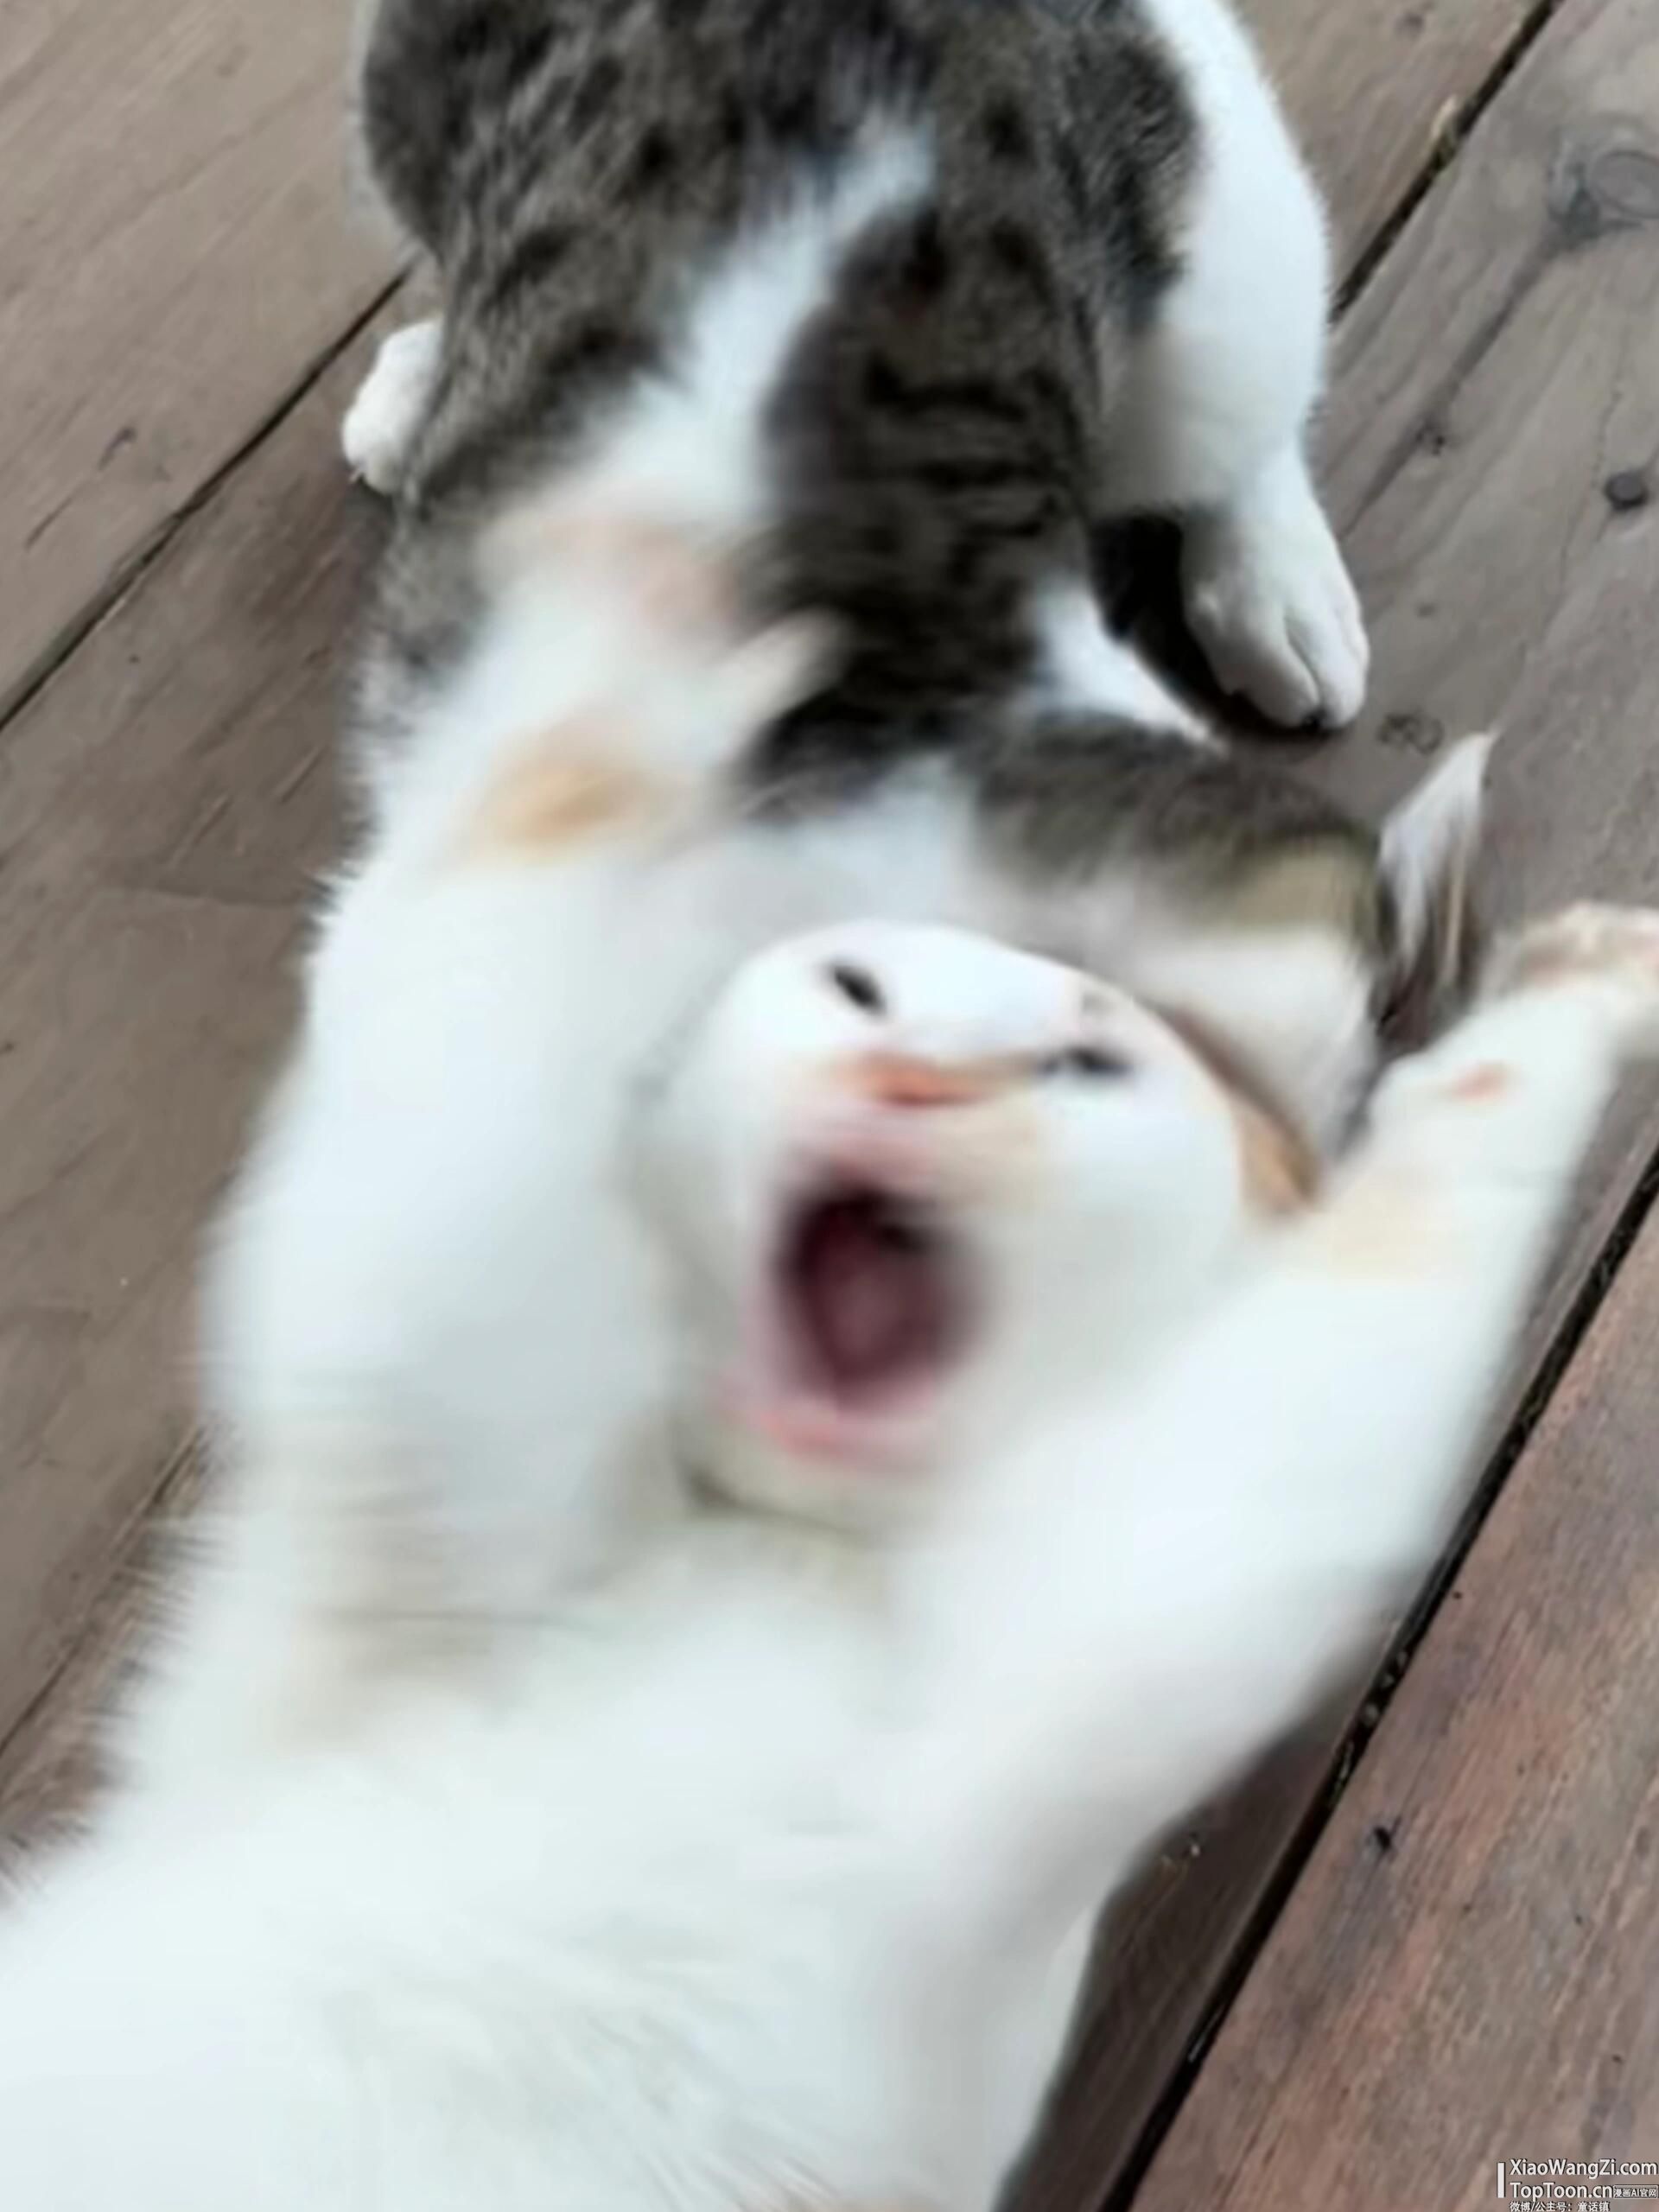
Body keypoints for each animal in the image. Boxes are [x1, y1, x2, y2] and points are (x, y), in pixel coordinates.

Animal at [3, 881, 1657, 2212]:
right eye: (857, 993)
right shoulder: (395, 1492)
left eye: (1088, 1065)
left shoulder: (1139, 1610)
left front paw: (1585, 984)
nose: (912, 1083)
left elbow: (1397, 1262)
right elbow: (423, 1178)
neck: (798, 1556)